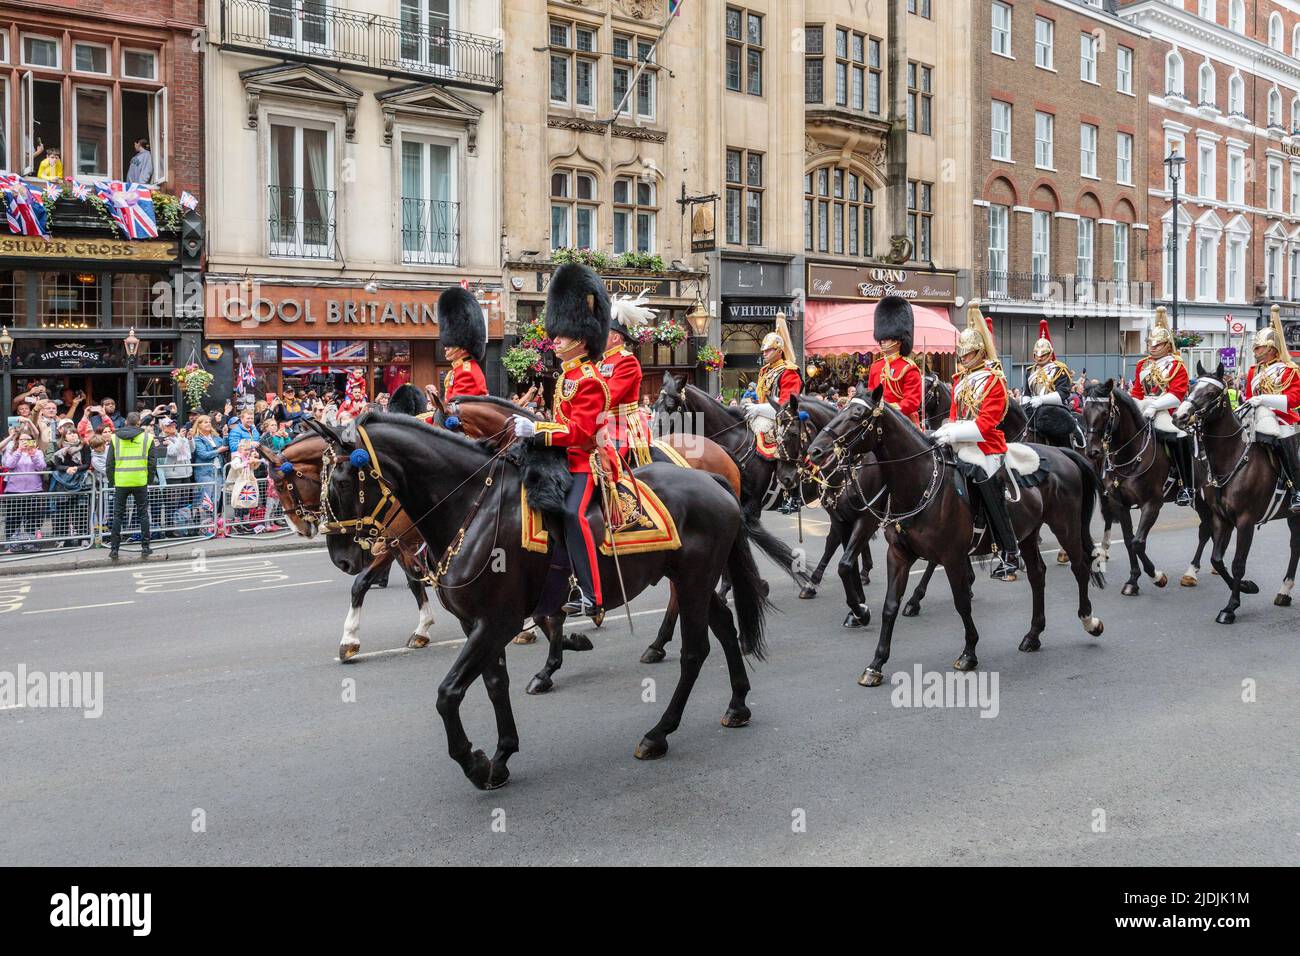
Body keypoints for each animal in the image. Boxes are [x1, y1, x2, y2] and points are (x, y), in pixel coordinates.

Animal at [315, 413, 769, 790]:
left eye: (341, 483)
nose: (343, 558)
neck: (474, 510)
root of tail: (714, 479)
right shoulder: (477, 623)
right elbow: (495, 685)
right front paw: (501, 758)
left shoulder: (498, 621)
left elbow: (448, 693)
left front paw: (475, 763)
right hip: (694, 581)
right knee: (725, 628)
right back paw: (738, 705)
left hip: (693, 581)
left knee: (695, 652)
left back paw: (659, 733)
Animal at [806, 390, 1102, 686]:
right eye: (841, 410)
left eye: (857, 416)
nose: (815, 452)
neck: (919, 481)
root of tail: (1061, 452)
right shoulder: (897, 554)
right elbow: (889, 606)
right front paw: (875, 663)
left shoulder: (952, 557)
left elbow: (962, 603)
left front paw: (969, 652)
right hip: (1027, 534)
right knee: (1037, 575)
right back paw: (1033, 635)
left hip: (1065, 525)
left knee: (1080, 566)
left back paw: (1089, 620)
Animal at [1170, 361, 1300, 624]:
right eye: (1191, 387)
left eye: (1211, 393)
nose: (1179, 416)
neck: (1232, 458)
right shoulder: (1222, 518)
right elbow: (1218, 560)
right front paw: (1247, 587)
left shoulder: (1245, 521)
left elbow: (1238, 563)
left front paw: (1230, 607)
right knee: (1295, 545)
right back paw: (1284, 591)